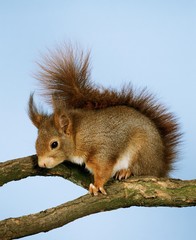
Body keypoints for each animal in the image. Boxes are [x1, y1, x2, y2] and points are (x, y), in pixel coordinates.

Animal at [28, 44, 181, 195]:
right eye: (36, 141)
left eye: (54, 144)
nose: (41, 164)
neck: (79, 135)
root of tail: (161, 167)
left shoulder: (103, 151)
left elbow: (103, 170)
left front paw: (97, 186)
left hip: (141, 152)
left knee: (140, 170)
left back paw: (126, 171)